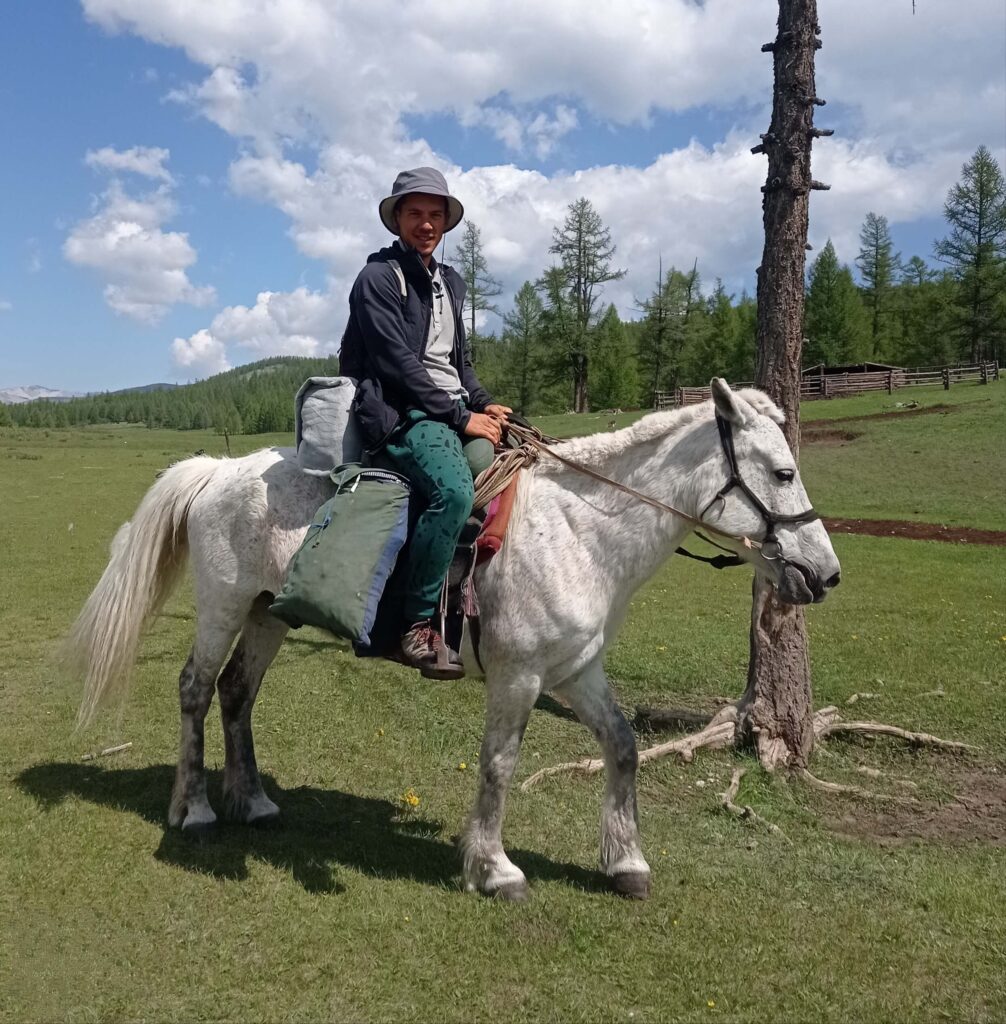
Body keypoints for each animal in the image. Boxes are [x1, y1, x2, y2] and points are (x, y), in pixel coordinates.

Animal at [67, 380, 844, 901]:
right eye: (782, 471)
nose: (826, 573)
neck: (577, 528)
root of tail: (217, 472)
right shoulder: (520, 675)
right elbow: (499, 765)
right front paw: (494, 868)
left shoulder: (577, 670)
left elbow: (623, 746)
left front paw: (625, 863)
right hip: (224, 607)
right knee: (195, 689)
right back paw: (196, 810)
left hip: (268, 615)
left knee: (235, 693)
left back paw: (254, 803)